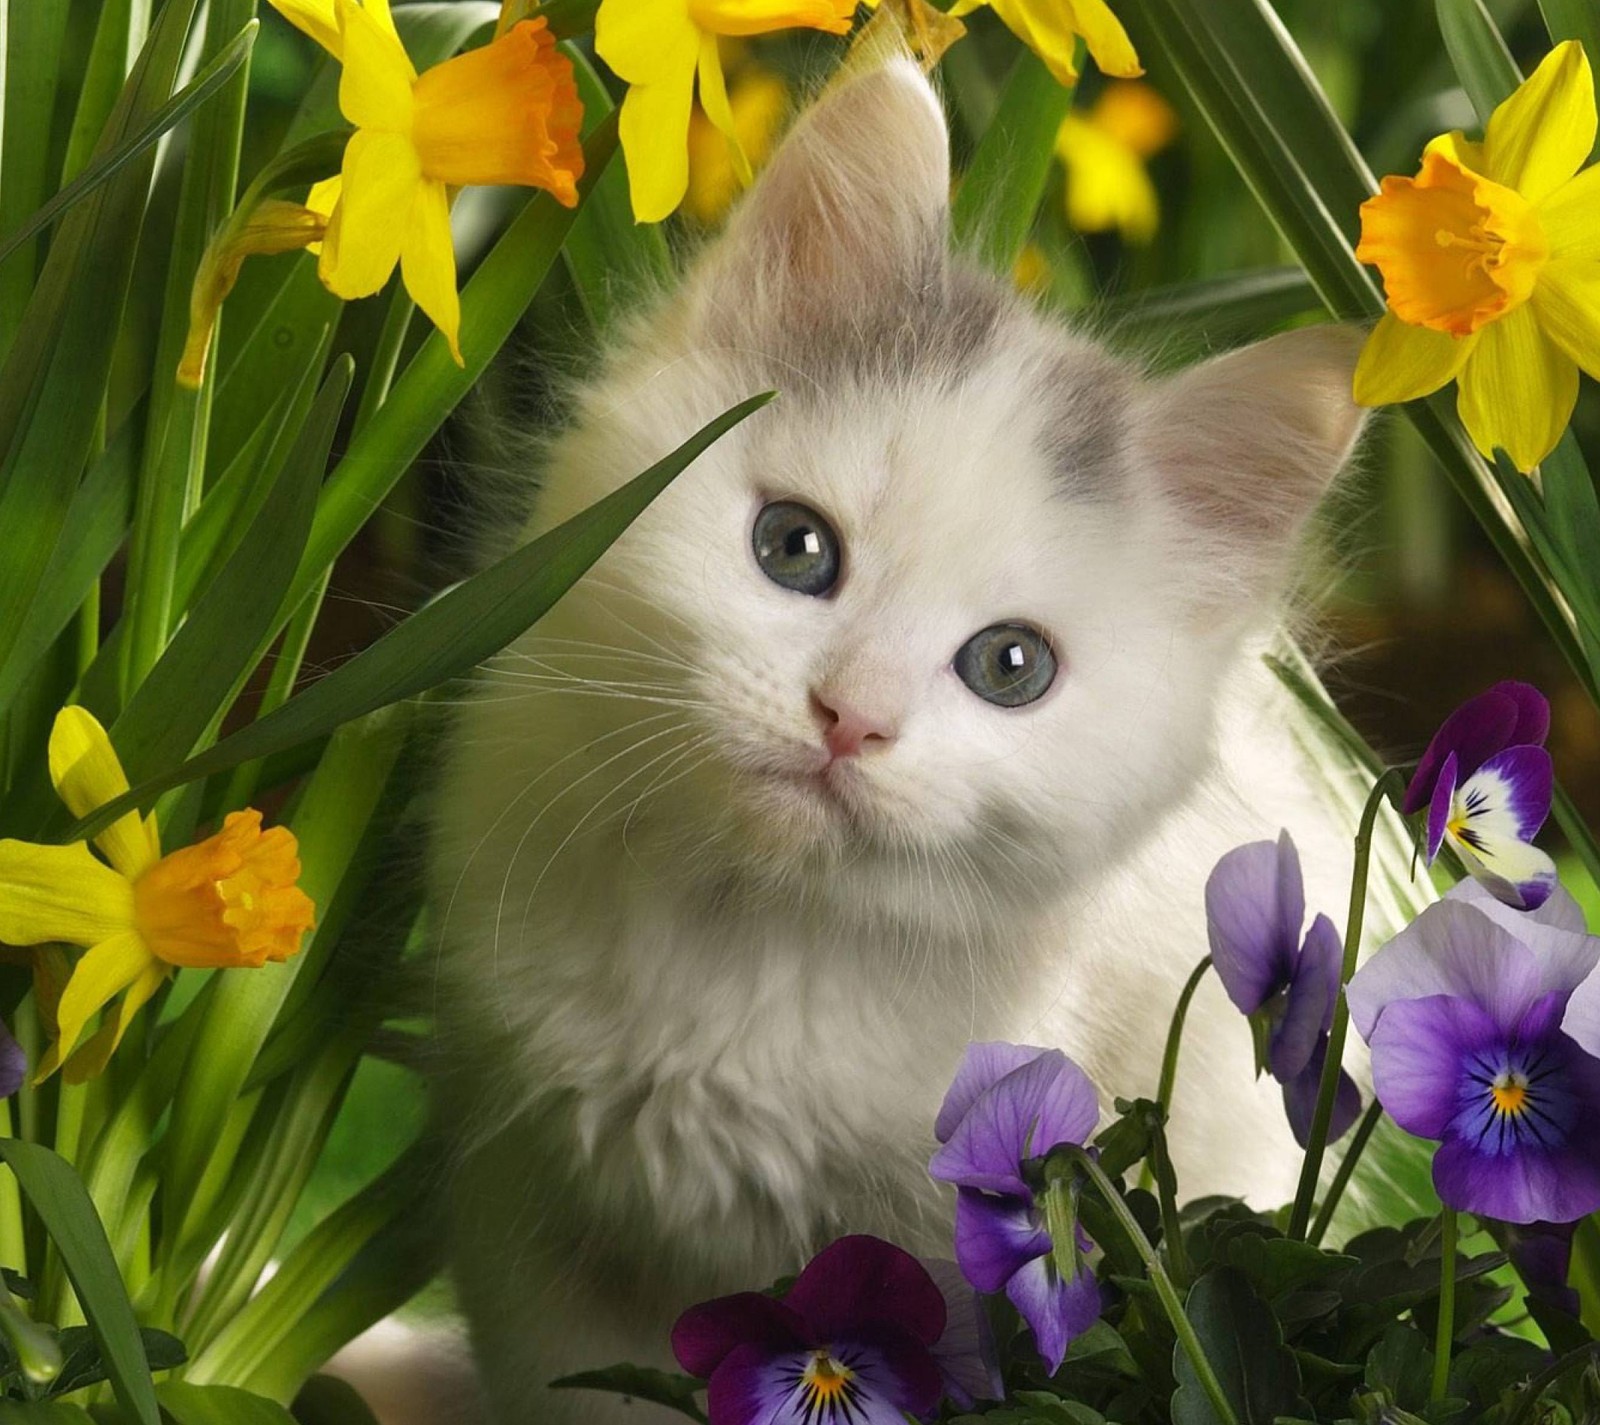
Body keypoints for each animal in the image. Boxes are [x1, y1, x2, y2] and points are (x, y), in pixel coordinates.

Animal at [432, 58, 1369, 1425]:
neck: (748, 948)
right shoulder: (523, 1201)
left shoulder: (972, 1262)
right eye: (793, 548)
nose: (850, 717)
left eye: (1009, 667)